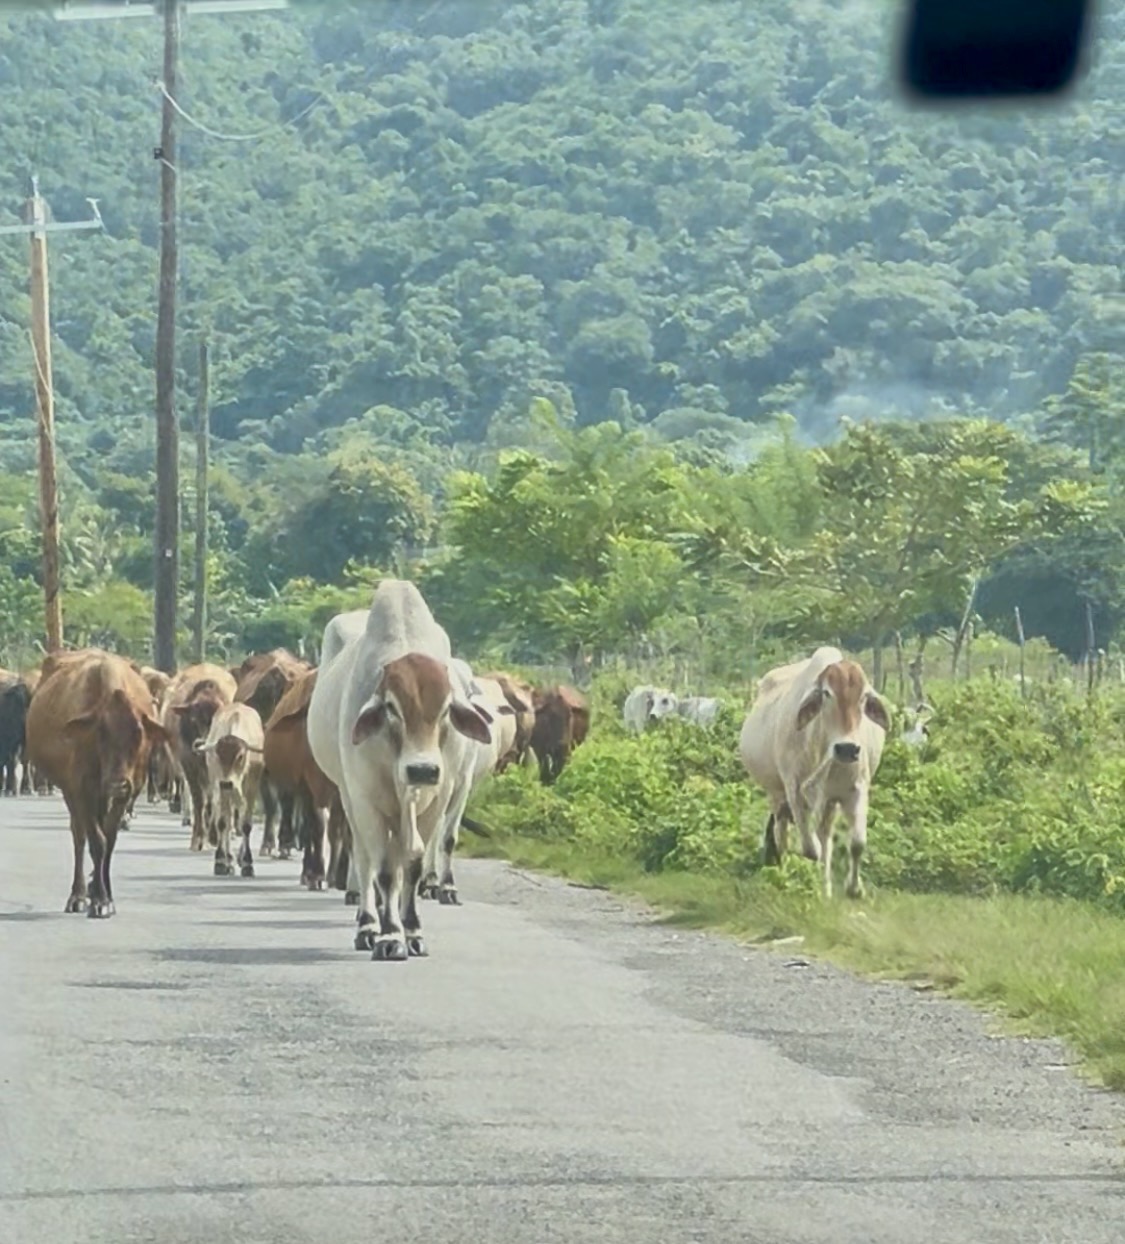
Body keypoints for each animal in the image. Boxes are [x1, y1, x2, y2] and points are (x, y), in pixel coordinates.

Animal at [25, 649, 169, 917]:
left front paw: (105, 897)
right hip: (72, 793)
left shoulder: (126, 793)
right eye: (100, 732)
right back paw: (79, 895)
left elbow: (109, 840)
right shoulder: (82, 789)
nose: (117, 783)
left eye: (138, 733)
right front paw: (99, 899)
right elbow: (96, 841)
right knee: (79, 836)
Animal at [163, 663, 239, 852]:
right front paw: (198, 838)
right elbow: (200, 800)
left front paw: (213, 836)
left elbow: (213, 799)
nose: (202, 744)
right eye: (193, 719)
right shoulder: (188, 765)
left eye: (218, 719)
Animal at [194, 702, 265, 878]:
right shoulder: (220, 786)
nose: (227, 783)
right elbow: (222, 823)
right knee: (229, 819)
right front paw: (221, 861)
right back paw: (230, 859)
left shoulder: (251, 788)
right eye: (217, 755)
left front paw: (247, 863)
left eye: (240, 756)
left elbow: (246, 825)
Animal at [306, 581, 491, 961]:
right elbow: (385, 871)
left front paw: (413, 930)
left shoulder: (441, 796)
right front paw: (390, 935)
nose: (421, 770)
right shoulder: (368, 798)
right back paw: (367, 924)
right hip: (350, 797)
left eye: (446, 708)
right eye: (391, 707)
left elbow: (415, 865)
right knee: (364, 858)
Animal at [739, 646, 890, 900]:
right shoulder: (795, 792)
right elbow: (811, 849)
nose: (847, 748)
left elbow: (857, 843)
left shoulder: (857, 790)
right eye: (827, 693)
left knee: (824, 835)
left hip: (828, 803)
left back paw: (826, 887)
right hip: (777, 795)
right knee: (782, 837)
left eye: (863, 697)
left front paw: (854, 889)